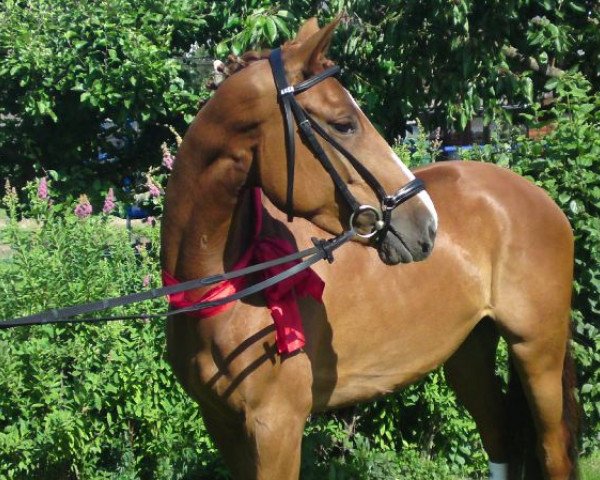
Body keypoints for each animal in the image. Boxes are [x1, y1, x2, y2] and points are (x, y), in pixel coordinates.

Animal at [158, 15, 576, 480]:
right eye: (344, 124)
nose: (426, 224)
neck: (226, 292)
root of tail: (540, 197)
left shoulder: (276, 428)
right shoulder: (224, 426)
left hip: (536, 350)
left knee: (551, 450)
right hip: (469, 353)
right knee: (499, 439)